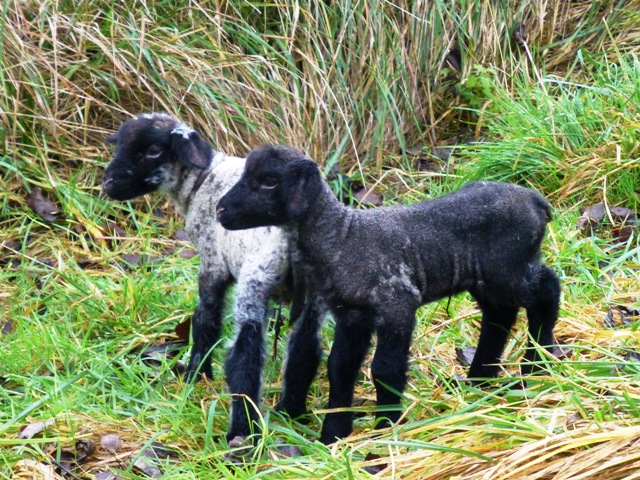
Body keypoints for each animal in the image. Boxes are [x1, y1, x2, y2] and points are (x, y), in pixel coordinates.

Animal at [101, 114, 322, 442]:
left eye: (154, 150)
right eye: (119, 144)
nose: (108, 183)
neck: (201, 180)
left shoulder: (212, 261)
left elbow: (205, 318)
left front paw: (197, 375)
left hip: (256, 278)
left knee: (246, 353)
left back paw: (242, 432)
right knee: (305, 347)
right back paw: (291, 411)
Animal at [216, 145, 561, 445]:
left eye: (269, 181)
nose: (220, 210)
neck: (341, 237)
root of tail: (536, 200)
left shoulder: (397, 304)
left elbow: (384, 369)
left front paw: (387, 426)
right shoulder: (352, 315)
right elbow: (339, 368)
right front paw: (334, 433)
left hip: (509, 267)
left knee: (547, 290)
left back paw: (538, 363)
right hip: (486, 278)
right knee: (499, 315)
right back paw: (480, 378)